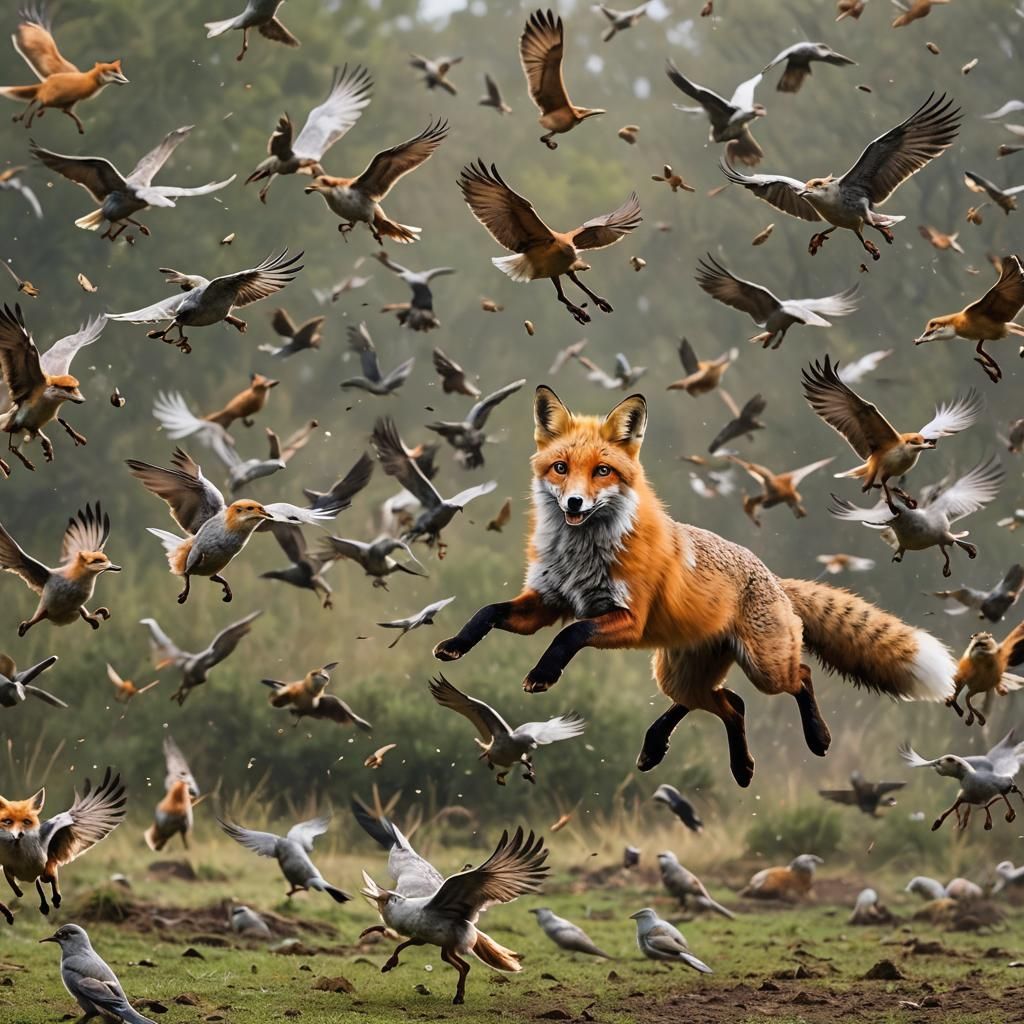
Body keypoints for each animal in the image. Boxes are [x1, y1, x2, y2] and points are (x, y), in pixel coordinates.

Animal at [434, 386, 958, 787]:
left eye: (602, 470)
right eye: (560, 468)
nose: (575, 503)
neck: (582, 552)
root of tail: (772, 576)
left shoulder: (625, 617)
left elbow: (570, 634)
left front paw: (544, 673)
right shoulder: (545, 601)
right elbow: (488, 612)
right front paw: (455, 644)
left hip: (765, 669)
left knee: (797, 678)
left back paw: (815, 738)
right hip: (677, 672)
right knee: (729, 705)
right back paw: (716, 762)